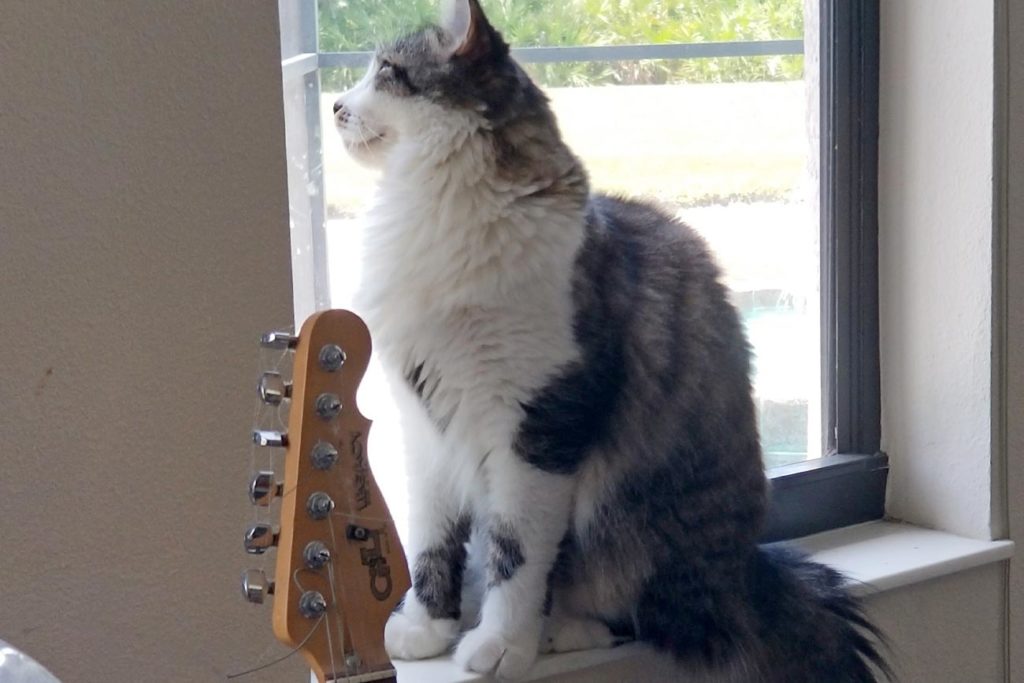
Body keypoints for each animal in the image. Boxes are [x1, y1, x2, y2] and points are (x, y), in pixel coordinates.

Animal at [333, 1, 888, 679]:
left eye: (387, 72)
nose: (335, 105)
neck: (436, 214)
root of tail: (748, 571)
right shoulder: (427, 423)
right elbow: (430, 542)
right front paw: (424, 627)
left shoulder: (539, 425)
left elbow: (515, 553)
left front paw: (500, 644)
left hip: (635, 522)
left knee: (645, 616)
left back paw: (561, 631)